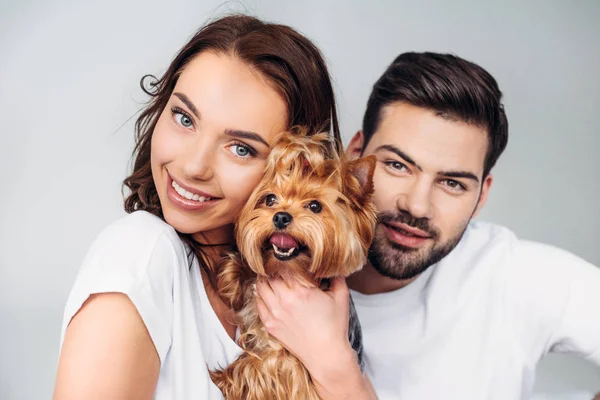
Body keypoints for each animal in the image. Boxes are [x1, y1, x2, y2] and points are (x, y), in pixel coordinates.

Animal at [210, 126, 376, 398]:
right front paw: (233, 273)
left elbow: (259, 364)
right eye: (270, 200)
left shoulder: (290, 363)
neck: (290, 272)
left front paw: (224, 377)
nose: (280, 216)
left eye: (315, 206)